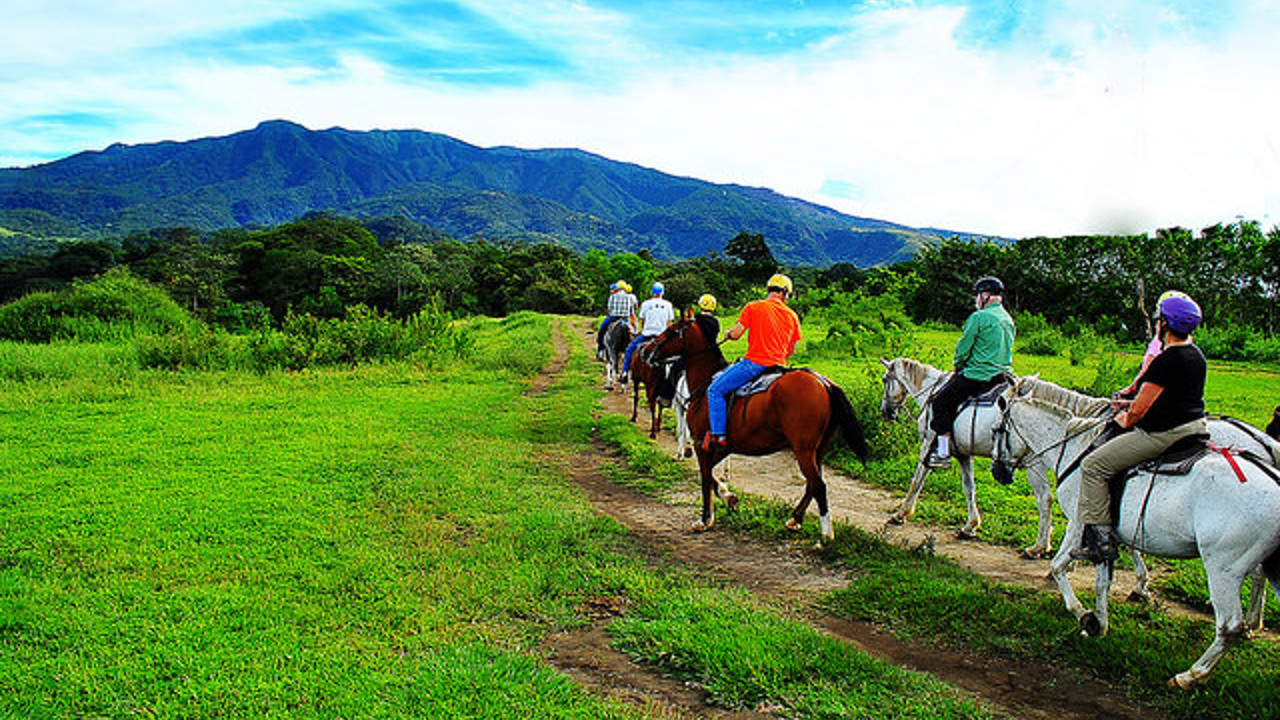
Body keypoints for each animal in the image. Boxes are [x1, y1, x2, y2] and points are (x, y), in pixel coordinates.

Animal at [650, 315, 870, 538]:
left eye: (671, 330)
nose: (648, 351)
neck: (706, 381)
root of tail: (824, 383)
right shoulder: (720, 447)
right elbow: (711, 476)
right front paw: (729, 498)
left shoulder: (700, 443)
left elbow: (704, 477)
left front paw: (705, 519)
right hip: (818, 449)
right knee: (812, 484)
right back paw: (795, 519)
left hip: (804, 449)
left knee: (819, 485)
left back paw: (825, 535)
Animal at [880, 356, 1059, 556]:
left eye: (885, 380)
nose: (885, 411)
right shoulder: (964, 454)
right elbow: (969, 487)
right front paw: (970, 525)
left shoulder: (928, 443)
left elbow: (917, 480)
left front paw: (901, 514)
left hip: (1033, 463)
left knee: (1044, 499)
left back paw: (1038, 547)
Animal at [998, 386, 1280, 681]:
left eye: (998, 430)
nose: (998, 472)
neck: (1077, 446)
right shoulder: (1106, 528)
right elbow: (1103, 579)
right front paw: (1102, 620)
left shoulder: (1079, 520)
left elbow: (1058, 565)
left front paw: (1082, 610)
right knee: (1257, 580)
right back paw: (1251, 625)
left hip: (1224, 567)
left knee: (1230, 623)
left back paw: (1192, 674)